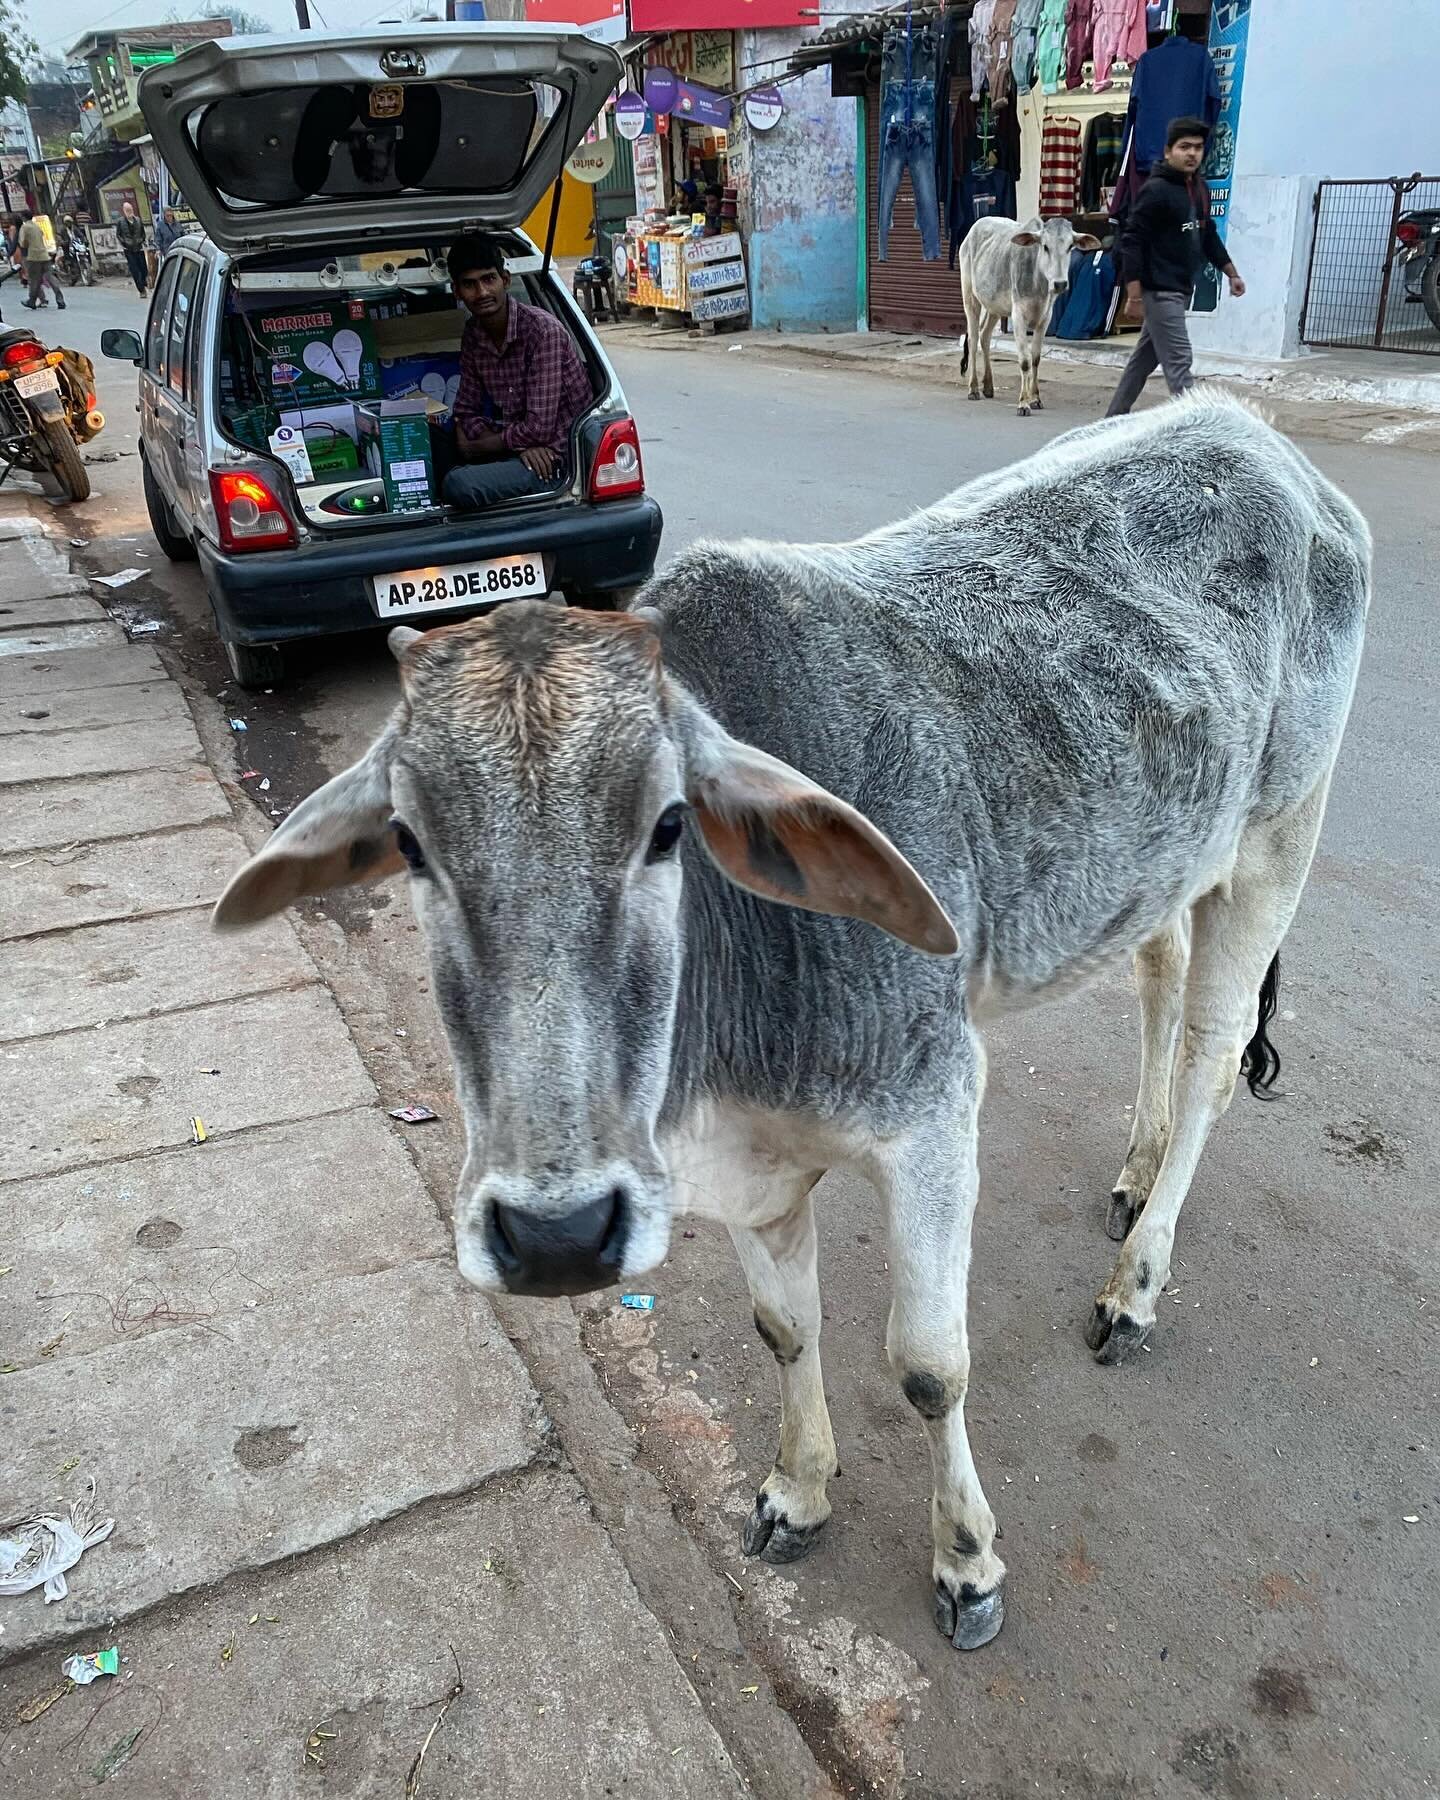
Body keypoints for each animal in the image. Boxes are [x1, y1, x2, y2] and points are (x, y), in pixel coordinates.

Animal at [216, 397, 1375, 1656]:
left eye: (670, 825)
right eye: (411, 845)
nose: (555, 1235)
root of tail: (1250, 430)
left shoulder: (934, 1115)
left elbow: (927, 1365)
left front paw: (966, 1561)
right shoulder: (743, 1167)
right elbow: (785, 1330)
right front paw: (799, 1489)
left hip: (1282, 832)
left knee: (1214, 1051)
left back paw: (1137, 1279)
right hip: (1168, 860)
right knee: (1159, 978)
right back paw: (1137, 1162)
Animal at [964, 212, 1094, 415]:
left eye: (1070, 246)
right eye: (1045, 246)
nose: (1060, 284)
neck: (1038, 279)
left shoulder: (1045, 319)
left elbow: (1036, 358)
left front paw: (1035, 399)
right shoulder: (1018, 317)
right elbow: (1024, 361)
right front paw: (1023, 403)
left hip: (994, 306)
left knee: (985, 337)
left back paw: (988, 386)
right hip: (970, 297)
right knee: (973, 338)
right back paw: (973, 388)